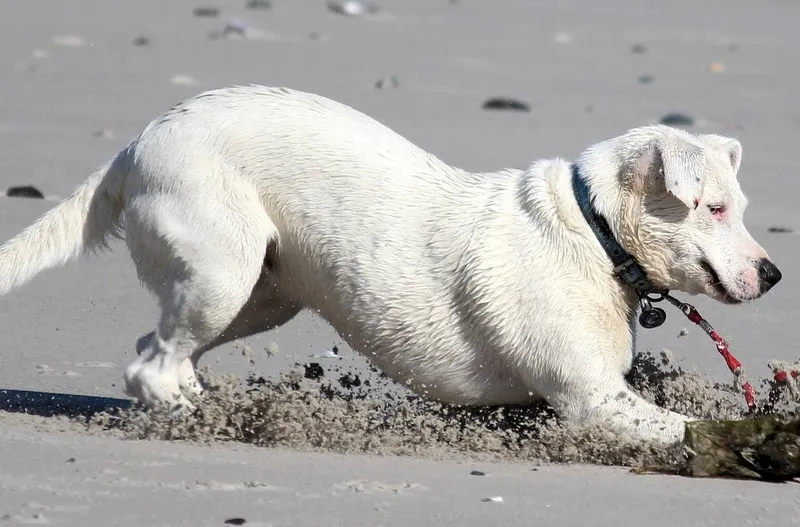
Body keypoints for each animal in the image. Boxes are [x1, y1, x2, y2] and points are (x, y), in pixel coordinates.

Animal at [0, 85, 781, 444]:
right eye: (713, 208)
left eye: (739, 206)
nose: (774, 275)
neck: (594, 233)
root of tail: (135, 145)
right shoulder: (593, 400)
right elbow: (689, 427)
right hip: (223, 272)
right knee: (152, 365)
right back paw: (211, 419)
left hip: (262, 292)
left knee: (158, 349)